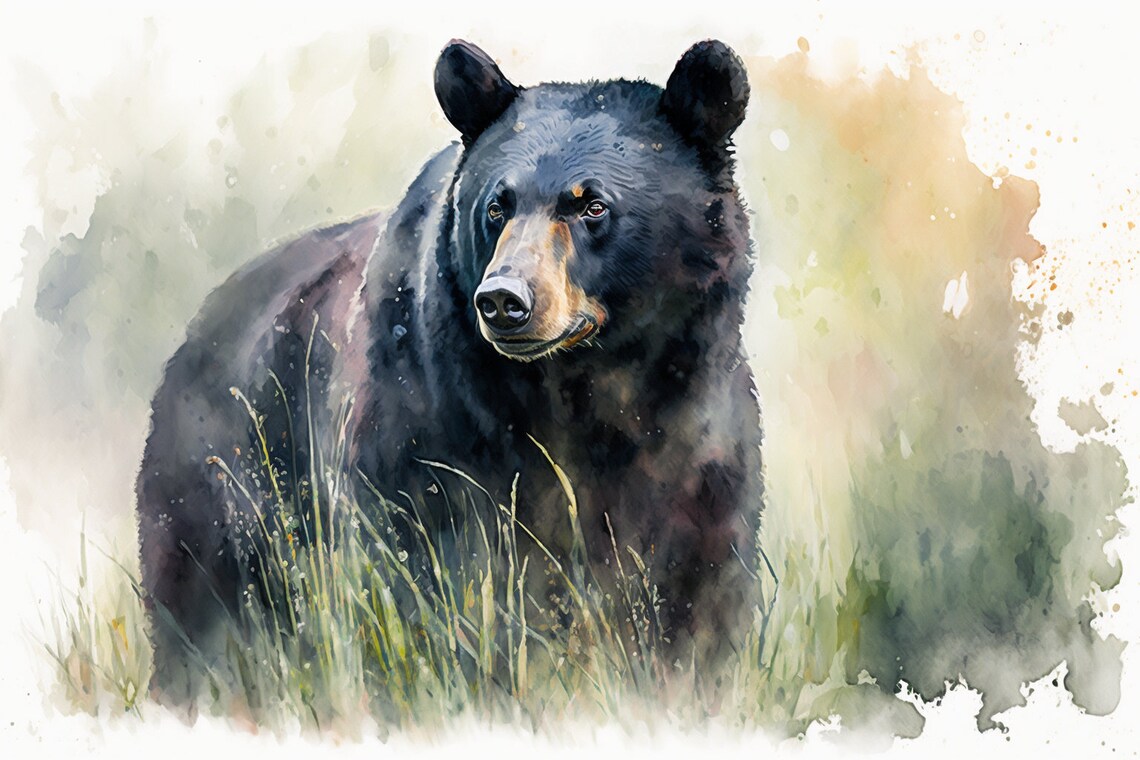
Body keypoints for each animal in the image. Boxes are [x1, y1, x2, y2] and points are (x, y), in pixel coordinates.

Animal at [136, 38, 763, 706]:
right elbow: (429, 579)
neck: (583, 389)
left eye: (592, 205)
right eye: (496, 206)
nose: (504, 300)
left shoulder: (699, 446)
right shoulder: (426, 427)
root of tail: (198, 327)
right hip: (222, 484)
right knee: (201, 616)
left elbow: (695, 595)